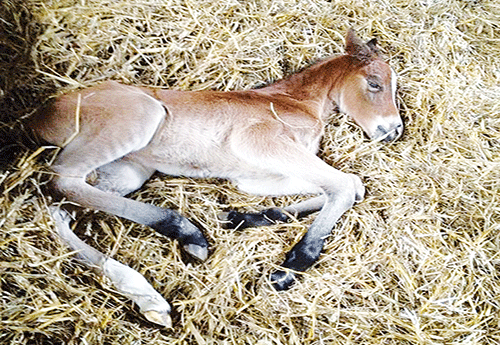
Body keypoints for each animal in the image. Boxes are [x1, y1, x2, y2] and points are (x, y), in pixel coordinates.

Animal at [29, 28, 402, 326]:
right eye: (374, 84)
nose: (395, 130)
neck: (295, 102)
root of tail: (39, 115)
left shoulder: (258, 176)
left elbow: (349, 187)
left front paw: (242, 217)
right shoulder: (259, 141)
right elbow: (342, 185)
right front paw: (291, 267)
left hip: (127, 170)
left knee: (61, 208)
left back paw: (148, 297)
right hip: (135, 119)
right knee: (61, 179)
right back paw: (185, 232)